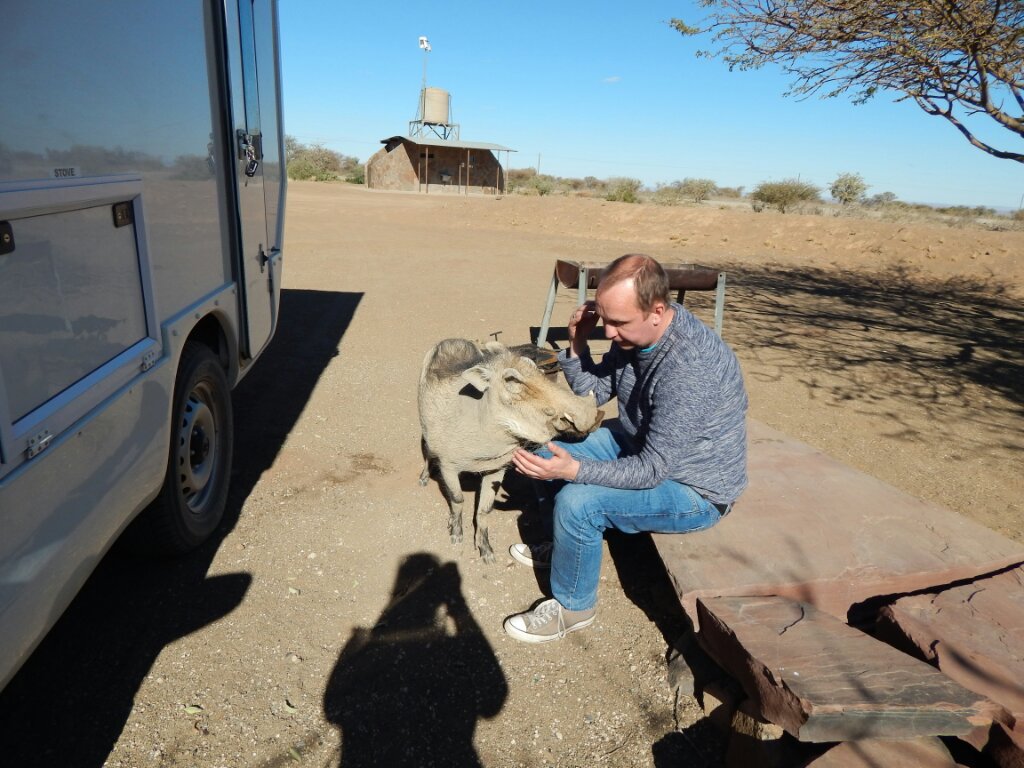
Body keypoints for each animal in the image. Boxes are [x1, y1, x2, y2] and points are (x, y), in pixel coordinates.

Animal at [418, 338, 603, 563]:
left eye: (537, 369)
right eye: (511, 379)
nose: (595, 415)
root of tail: (451, 340)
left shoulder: (496, 469)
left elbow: (485, 510)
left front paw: (487, 552)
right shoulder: (448, 467)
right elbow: (457, 499)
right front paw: (455, 534)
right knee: (428, 450)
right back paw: (424, 478)